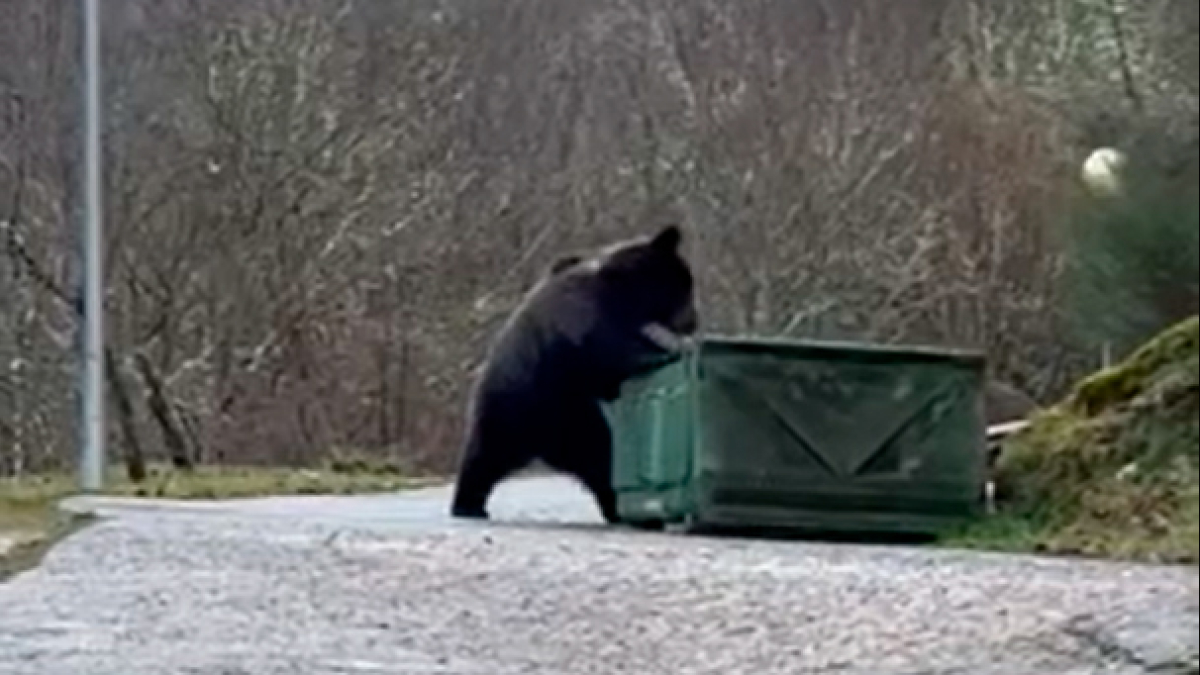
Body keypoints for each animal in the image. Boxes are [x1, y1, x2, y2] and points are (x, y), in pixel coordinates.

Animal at [449, 224, 699, 523]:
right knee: (491, 452)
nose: (693, 321)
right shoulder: (582, 322)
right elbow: (611, 351)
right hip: (534, 406)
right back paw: (468, 504)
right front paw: (668, 348)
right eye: (684, 288)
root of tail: (542, 442)